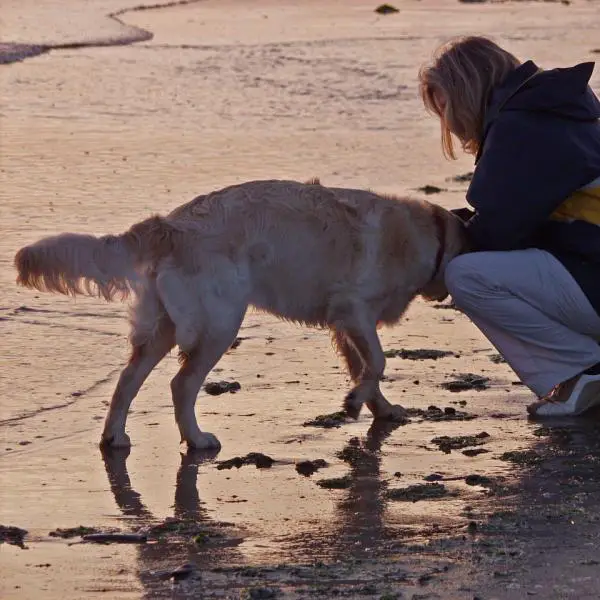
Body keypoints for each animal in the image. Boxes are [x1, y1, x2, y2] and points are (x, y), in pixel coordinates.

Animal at [12, 178, 464, 450]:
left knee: (126, 381)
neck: (425, 236)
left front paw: (375, 406)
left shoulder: (343, 323)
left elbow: (363, 367)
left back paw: (114, 437)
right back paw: (196, 439)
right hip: (221, 322)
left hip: (164, 326)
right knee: (181, 384)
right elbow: (379, 361)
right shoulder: (354, 309)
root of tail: (169, 226)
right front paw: (359, 401)